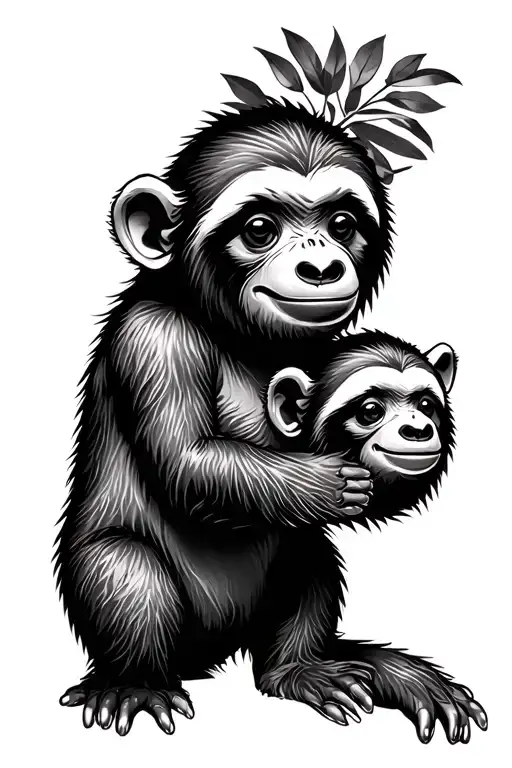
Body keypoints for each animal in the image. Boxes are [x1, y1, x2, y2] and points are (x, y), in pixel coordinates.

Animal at [56, 101, 435, 739]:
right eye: (259, 228)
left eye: (341, 224)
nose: (319, 264)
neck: (235, 332)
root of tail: (212, 655)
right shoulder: (154, 339)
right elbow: (189, 459)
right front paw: (327, 481)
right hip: (121, 598)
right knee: (128, 575)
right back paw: (135, 683)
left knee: (310, 559)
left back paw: (303, 669)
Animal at [264, 330, 487, 743]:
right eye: (369, 410)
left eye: (426, 404)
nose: (417, 428)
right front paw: (325, 482)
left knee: (311, 558)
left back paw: (298, 668)